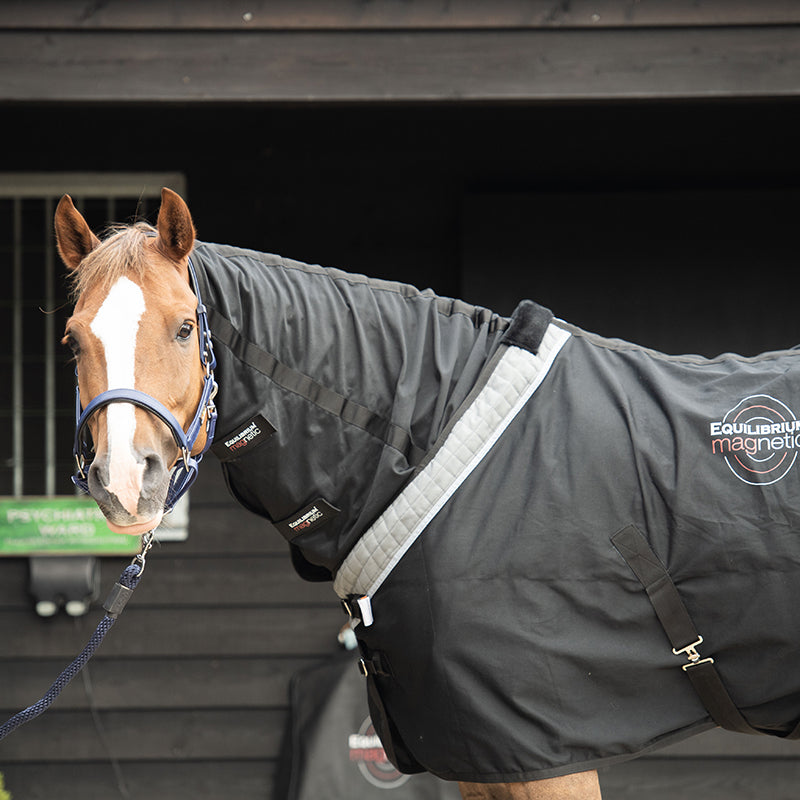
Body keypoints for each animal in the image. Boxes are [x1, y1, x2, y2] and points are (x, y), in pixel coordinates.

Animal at [54, 189, 800, 800]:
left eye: (185, 327)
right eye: (72, 341)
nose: (125, 481)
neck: (436, 438)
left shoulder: (545, 752)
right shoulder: (486, 757)